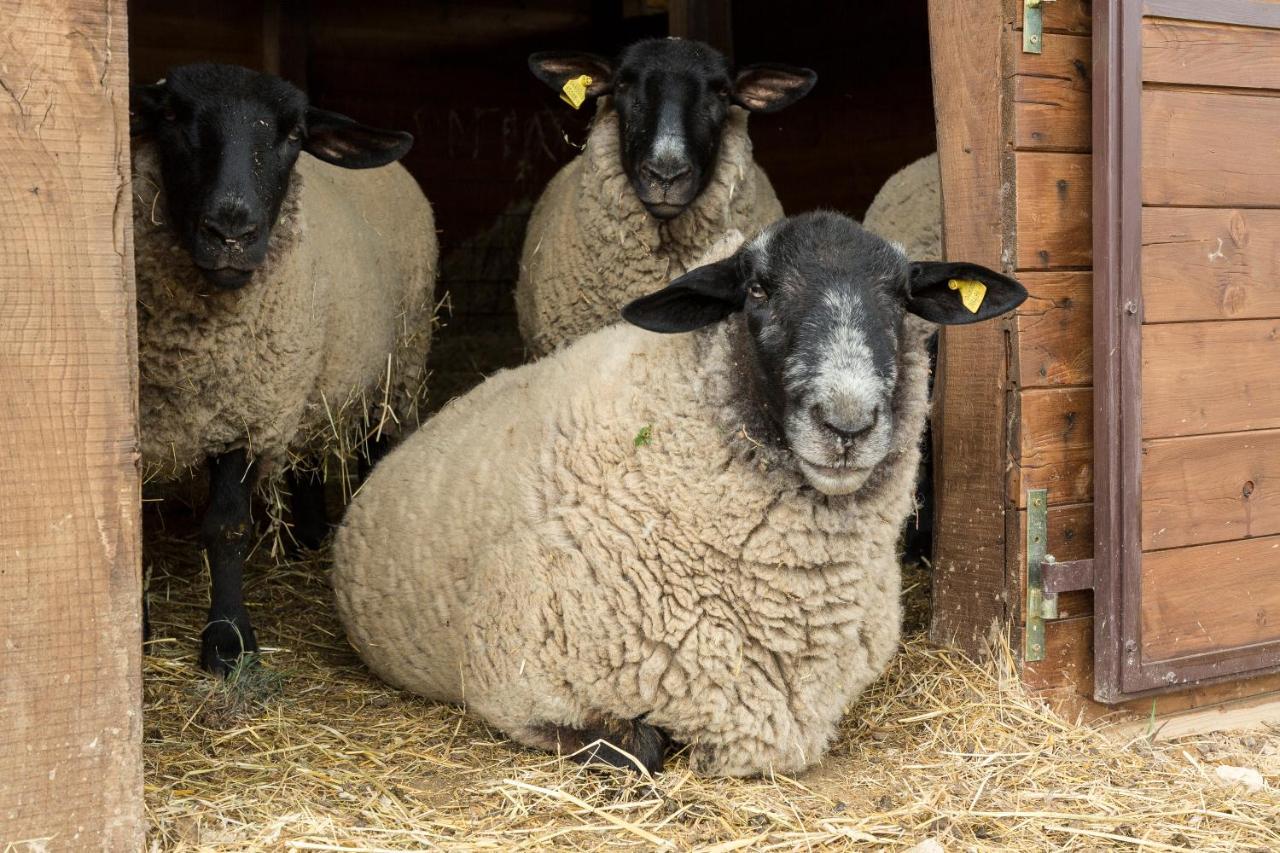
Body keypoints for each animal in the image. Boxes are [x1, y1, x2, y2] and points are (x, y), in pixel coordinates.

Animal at [130, 61, 440, 671]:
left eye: (294, 134)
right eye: (171, 116)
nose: (232, 232)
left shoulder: (253, 411)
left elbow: (227, 527)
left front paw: (229, 643)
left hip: (395, 371)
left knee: (374, 447)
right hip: (313, 377)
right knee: (308, 455)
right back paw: (307, 536)